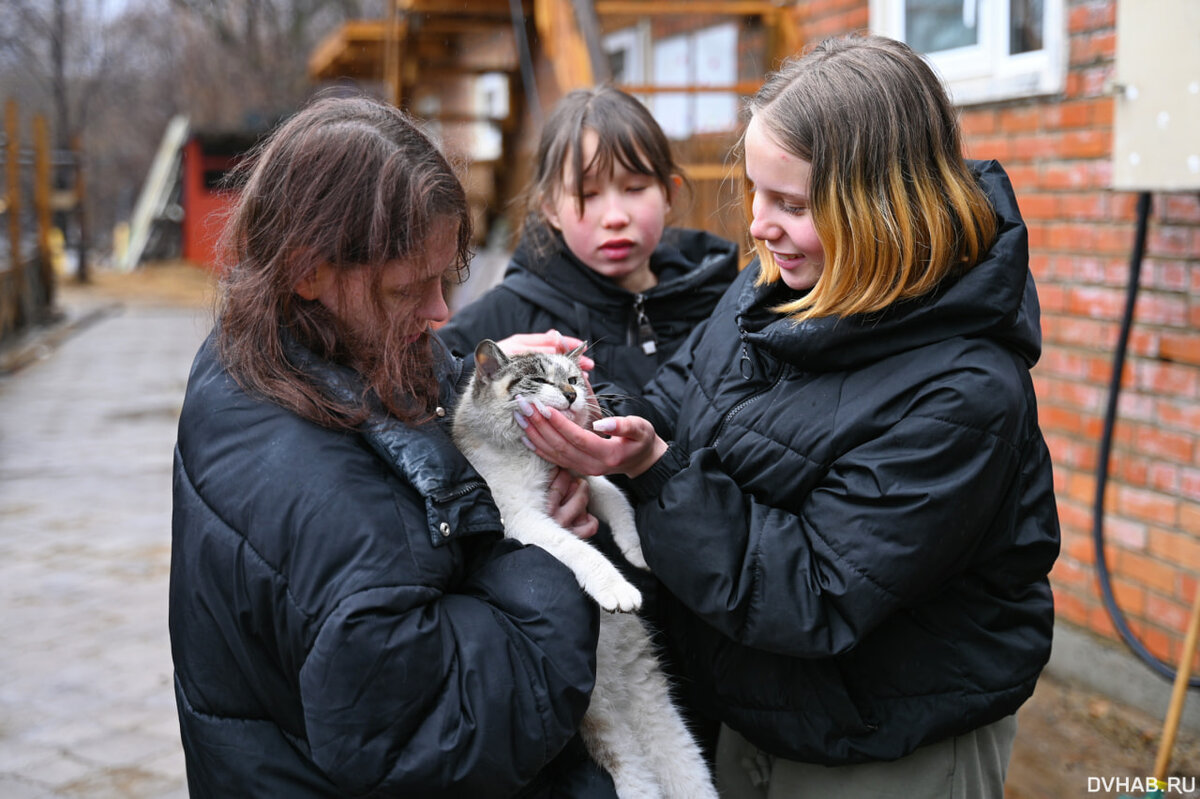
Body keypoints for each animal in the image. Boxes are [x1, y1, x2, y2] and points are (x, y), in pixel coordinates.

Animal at [451, 340, 710, 796]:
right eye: (540, 379)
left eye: (572, 378)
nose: (574, 395)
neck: (530, 457)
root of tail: (617, 685)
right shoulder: (522, 519)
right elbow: (581, 549)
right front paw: (619, 588)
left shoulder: (582, 478)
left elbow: (615, 497)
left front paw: (636, 551)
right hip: (616, 742)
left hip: (660, 715)